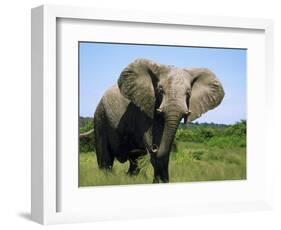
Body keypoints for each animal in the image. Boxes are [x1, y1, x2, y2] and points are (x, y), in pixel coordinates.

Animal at [93, 59, 224, 183]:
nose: (154, 147)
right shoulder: (144, 109)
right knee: (105, 159)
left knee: (135, 162)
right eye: (160, 90)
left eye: (188, 93)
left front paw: (162, 182)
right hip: (100, 117)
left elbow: (165, 153)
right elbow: (151, 142)